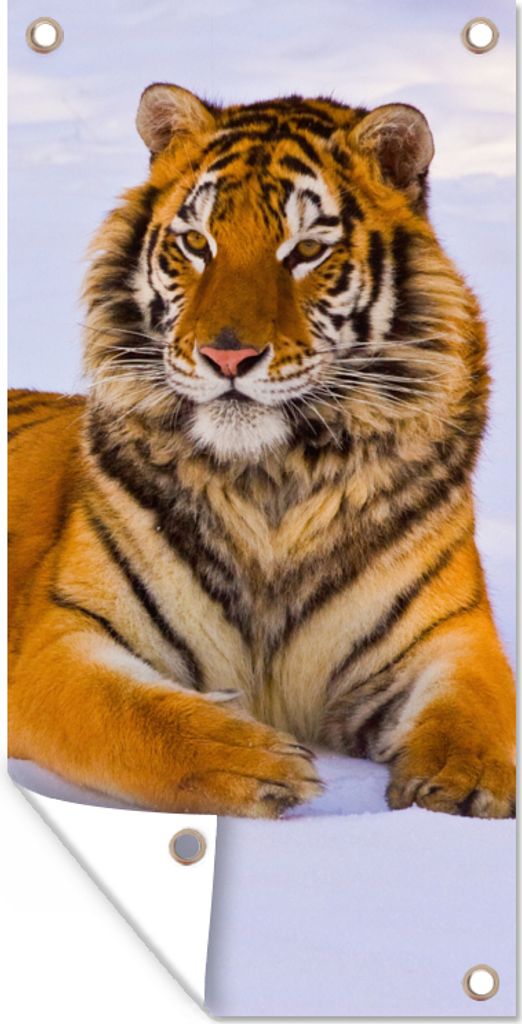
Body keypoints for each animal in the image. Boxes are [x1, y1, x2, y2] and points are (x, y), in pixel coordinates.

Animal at [8, 84, 515, 818]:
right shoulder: (66, 639)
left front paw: (460, 786)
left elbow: (474, 709)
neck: (271, 478)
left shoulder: (449, 635)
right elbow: (134, 717)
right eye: (196, 242)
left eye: (304, 251)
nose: (227, 356)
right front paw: (258, 762)